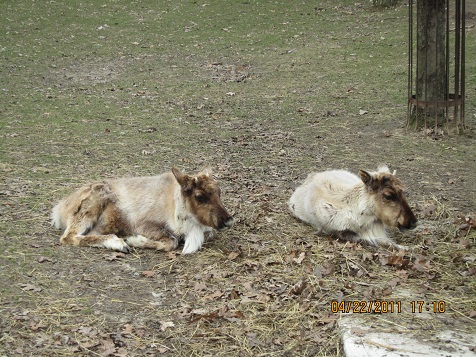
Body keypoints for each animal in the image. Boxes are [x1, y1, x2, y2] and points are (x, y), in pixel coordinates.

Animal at [51, 167, 234, 253]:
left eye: (219, 192)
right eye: (199, 196)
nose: (228, 220)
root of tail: (60, 209)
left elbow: (209, 233)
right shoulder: (143, 224)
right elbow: (171, 241)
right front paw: (133, 240)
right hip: (91, 206)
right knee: (69, 236)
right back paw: (120, 243)